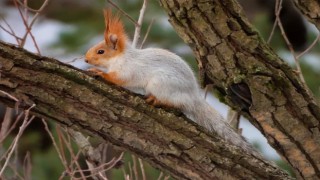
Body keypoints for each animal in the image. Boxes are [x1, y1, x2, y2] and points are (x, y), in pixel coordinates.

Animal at [84, 9, 255, 151]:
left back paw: (157, 100)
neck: (120, 58)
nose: (85, 59)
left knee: (177, 104)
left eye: (101, 51)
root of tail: (193, 96)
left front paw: (100, 73)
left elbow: (119, 78)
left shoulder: (128, 70)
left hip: (161, 84)